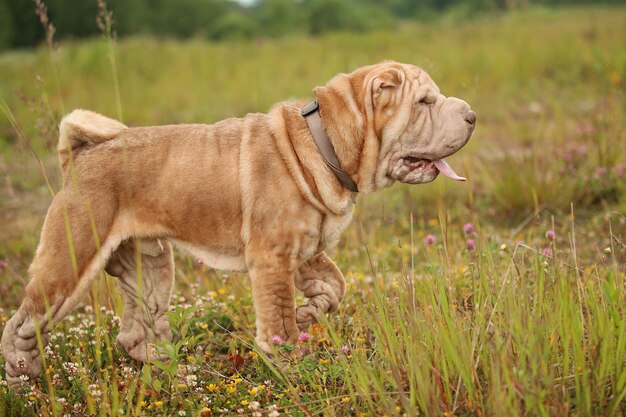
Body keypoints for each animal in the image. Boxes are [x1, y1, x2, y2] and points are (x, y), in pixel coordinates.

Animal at [0, 59, 472, 386]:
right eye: (425, 102)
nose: (471, 114)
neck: (328, 146)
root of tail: (78, 155)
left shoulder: (305, 250)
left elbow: (334, 287)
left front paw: (307, 314)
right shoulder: (273, 258)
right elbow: (278, 318)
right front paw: (292, 364)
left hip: (152, 267)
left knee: (134, 330)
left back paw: (170, 367)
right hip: (69, 264)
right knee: (22, 324)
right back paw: (23, 373)